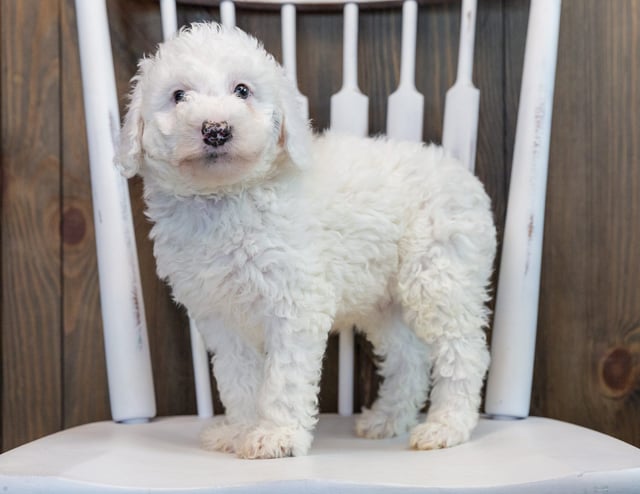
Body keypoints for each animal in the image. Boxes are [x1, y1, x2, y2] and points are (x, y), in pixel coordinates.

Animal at [116, 22, 496, 456]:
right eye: (179, 95)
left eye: (242, 90)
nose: (215, 130)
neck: (226, 198)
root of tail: (462, 173)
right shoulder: (219, 316)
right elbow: (237, 378)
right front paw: (239, 431)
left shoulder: (293, 304)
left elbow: (285, 377)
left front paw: (277, 435)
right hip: (385, 301)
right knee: (408, 358)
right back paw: (388, 420)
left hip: (438, 278)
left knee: (463, 352)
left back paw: (446, 426)